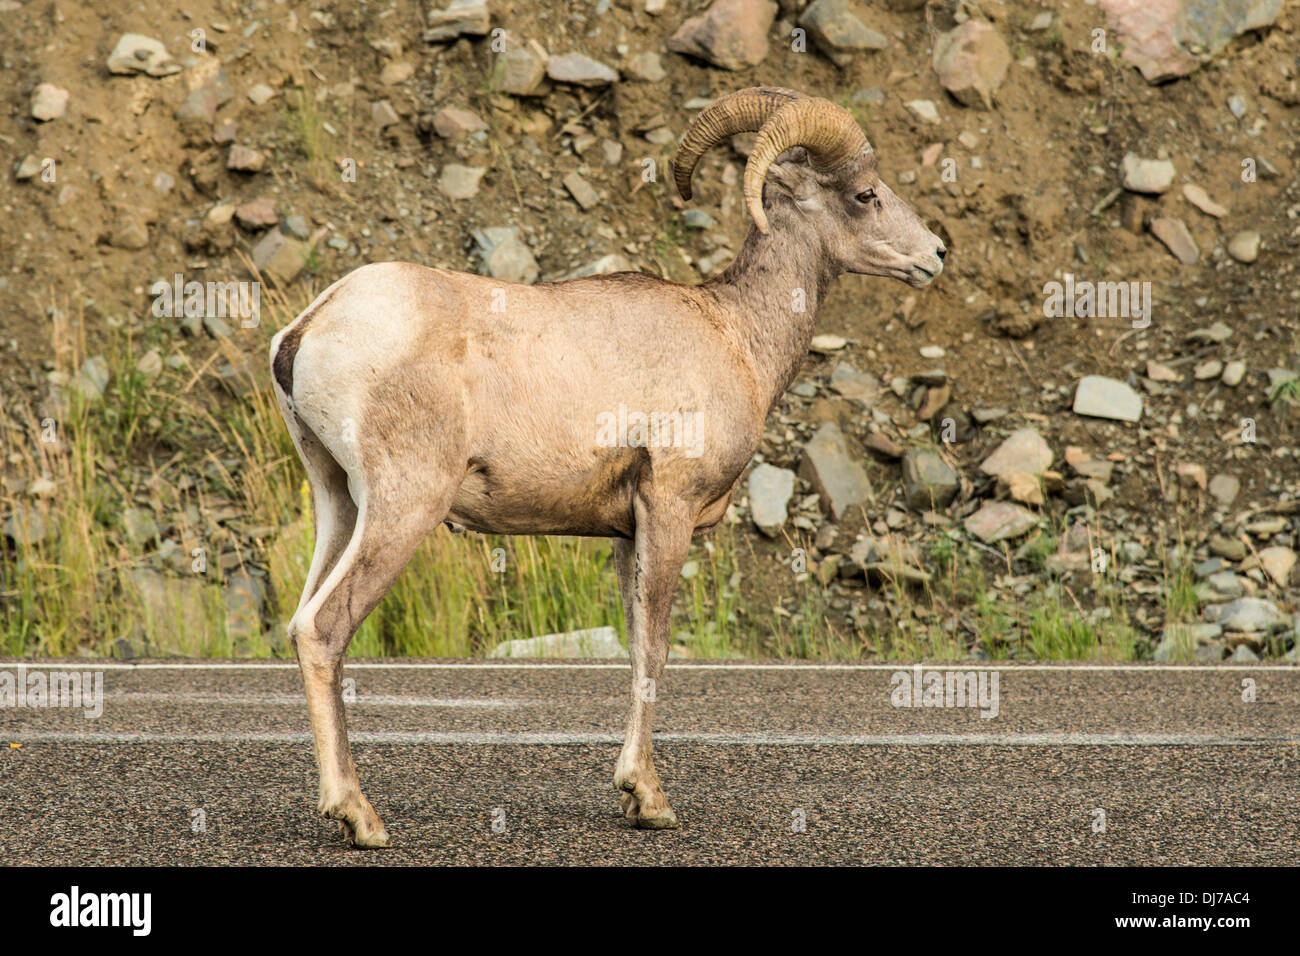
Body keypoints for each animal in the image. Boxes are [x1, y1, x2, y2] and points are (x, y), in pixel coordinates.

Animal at [269, 86, 946, 847]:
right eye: (865, 194)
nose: (936, 254)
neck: (735, 335)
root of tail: (307, 329)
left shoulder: (626, 533)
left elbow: (633, 650)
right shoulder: (669, 509)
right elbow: (654, 652)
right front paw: (647, 799)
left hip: (338, 502)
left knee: (302, 621)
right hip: (403, 506)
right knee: (325, 629)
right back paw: (359, 816)